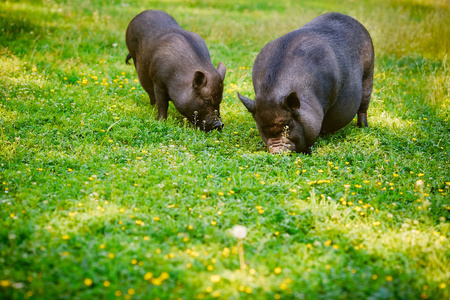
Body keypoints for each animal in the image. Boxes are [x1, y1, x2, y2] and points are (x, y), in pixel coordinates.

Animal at [237, 12, 374, 154]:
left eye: (288, 125)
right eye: (261, 127)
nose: (276, 150)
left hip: (369, 71)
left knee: (364, 104)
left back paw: (363, 127)